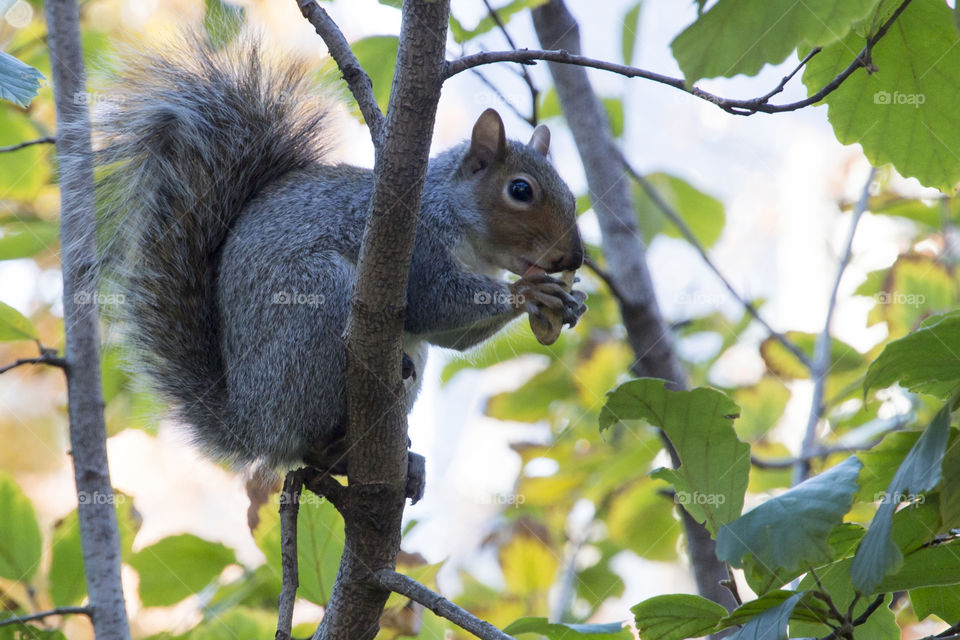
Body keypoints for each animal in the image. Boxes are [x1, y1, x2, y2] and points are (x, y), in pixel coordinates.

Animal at [90, 34, 586, 496]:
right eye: (520, 190)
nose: (576, 257)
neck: (463, 229)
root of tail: (251, 426)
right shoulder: (417, 246)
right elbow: (434, 303)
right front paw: (529, 292)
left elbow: (453, 337)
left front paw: (572, 300)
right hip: (313, 307)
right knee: (309, 438)